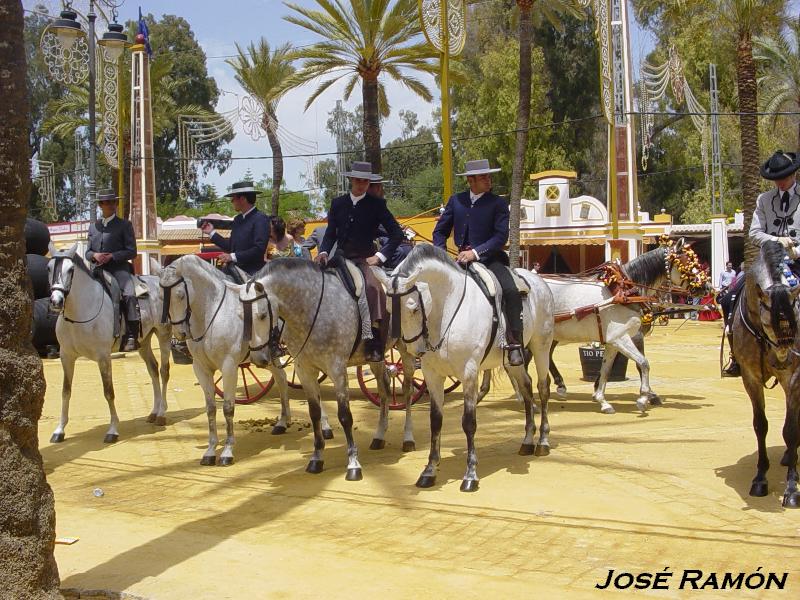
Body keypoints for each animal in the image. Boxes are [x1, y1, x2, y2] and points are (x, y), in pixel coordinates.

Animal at [48, 244, 170, 446]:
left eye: (70, 269)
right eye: (49, 268)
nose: (55, 301)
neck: (79, 314)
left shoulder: (103, 357)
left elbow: (108, 392)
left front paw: (113, 430)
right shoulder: (66, 357)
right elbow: (66, 392)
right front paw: (59, 430)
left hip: (163, 335)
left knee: (164, 372)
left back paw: (161, 414)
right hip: (144, 341)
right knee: (153, 370)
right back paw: (153, 412)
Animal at [159, 255, 332, 466]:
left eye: (179, 295)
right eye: (162, 296)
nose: (181, 333)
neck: (211, 314)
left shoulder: (229, 367)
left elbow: (228, 408)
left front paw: (227, 451)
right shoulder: (200, 369)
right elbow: (210, 409)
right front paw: (210, 450)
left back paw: (325, 426)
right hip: (269, 357)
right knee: (282, 378)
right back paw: (283, 421)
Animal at [239, 260, 412, 480]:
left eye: (261, 316)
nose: (258, 358)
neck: (310, 308)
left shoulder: (337, 369)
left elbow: (345, 416)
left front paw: (353, 464)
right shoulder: (304, 370)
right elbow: (314, 413)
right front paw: (317, 458)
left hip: (406, 350)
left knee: (407, 390)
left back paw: (408, 438)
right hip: (377, 359)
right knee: (384, 390)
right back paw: (379, 436)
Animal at [376, 244, 556, 492]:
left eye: (413, 308)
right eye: (387, 308)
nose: (413, 350)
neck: (446, 311)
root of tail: (539, 281)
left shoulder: (469, 373)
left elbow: (469, 422)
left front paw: (470, 474)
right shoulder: (432, 375)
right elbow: (435, 421)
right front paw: (429, 470)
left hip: (541, 347)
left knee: (543, 388)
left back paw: (543, 442)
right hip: (513, 361)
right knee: (527, 388)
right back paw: (528, 440)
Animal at [732, 239, 800, 506]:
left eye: (796, 318)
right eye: (769, 322)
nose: (784, 358)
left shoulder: (793, 378)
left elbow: (790, 430)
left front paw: (791, 489)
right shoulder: (750, 377)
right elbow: (760, 425)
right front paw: (760, 479)